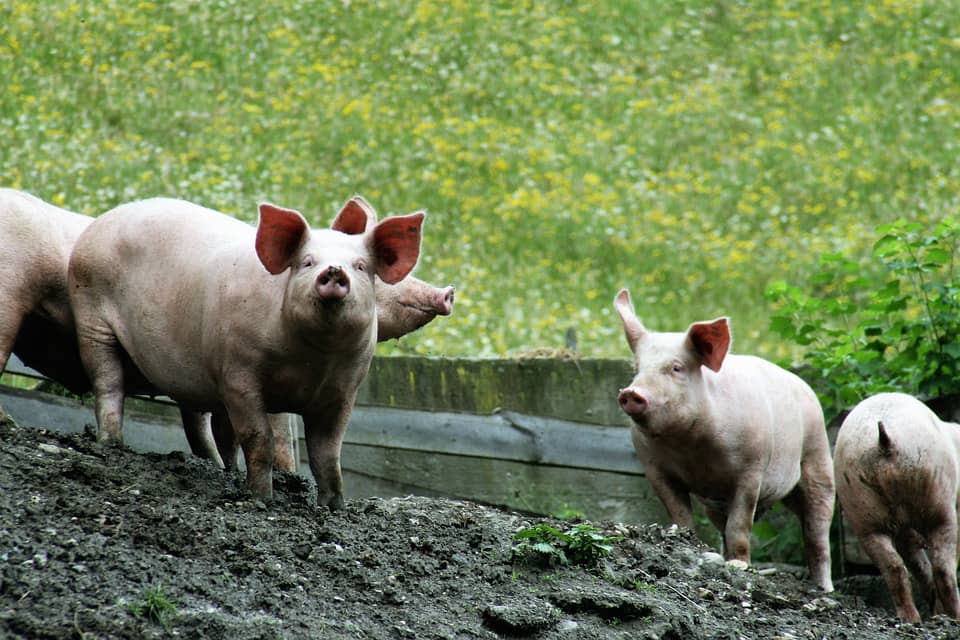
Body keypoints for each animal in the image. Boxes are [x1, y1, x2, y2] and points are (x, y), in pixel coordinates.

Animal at [68, 195, 422, 507]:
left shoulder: (344, 389)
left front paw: (335, 508)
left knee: (202, 424)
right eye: (306, 262)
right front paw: (261, 499)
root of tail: (97, 225)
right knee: (109, 383)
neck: (313, 357)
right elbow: (259, 438)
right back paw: (112, 445)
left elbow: (329, 453)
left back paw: (221, 470)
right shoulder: (237, 373)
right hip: (91, 315)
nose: (334, 270)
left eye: (360, 266)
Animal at [614, 288, 835, 591]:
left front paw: (739, 566)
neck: (689, 446)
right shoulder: (654, 468)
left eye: (677, 368)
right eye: (637, 367)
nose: (631, 393)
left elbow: (740, 525)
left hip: (817, 455)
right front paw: (685, 541)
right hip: (716, 503)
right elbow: (679, 514)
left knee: (818, 530)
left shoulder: (752, 468)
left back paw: (823, 589)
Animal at [834, 392, 960, 622]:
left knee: (894, 566)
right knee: (943, 566)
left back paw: (911, 618)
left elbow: (916, 562)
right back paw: (952, 617)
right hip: (936, 495)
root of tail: (884, 441)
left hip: (860, 505)